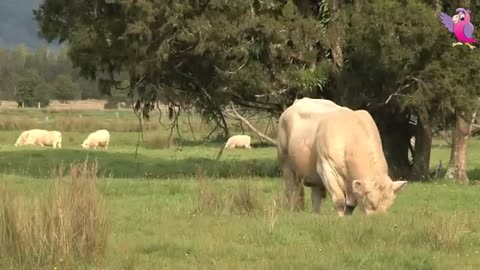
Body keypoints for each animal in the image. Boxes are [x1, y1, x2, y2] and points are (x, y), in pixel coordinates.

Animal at [276, 98, 406, 216]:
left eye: (389, 205)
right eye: (370, 202)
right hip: (286, 164)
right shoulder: (326, 167)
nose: (379, 218)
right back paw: (293, 210)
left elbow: (350, 206)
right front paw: (340, 219)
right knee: (292, 190)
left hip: (313, 175)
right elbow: (339, 200)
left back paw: (315, 214)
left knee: (315, 195)